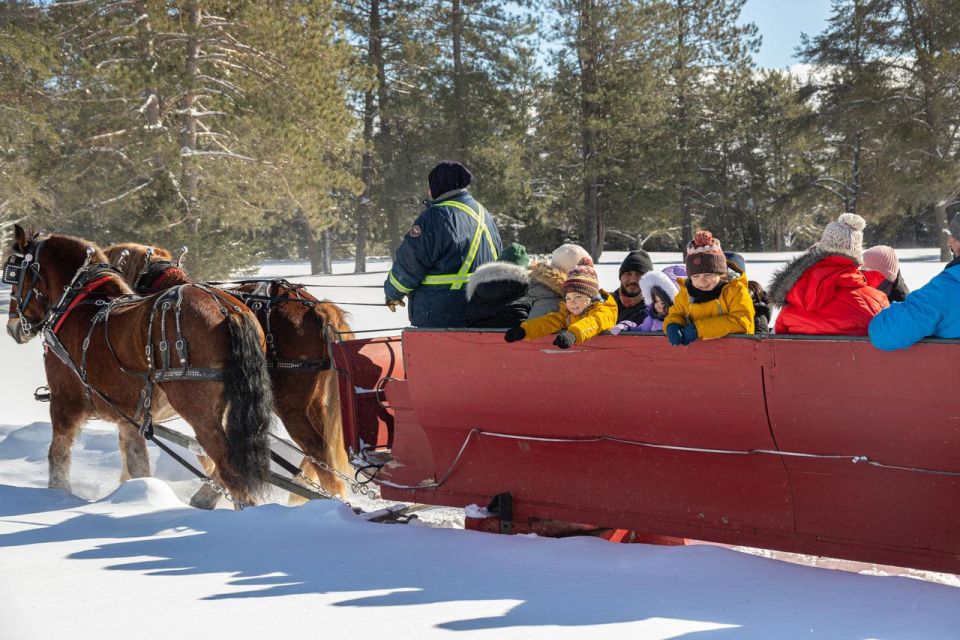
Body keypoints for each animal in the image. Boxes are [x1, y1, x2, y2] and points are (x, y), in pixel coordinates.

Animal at [5, 228, 272, 508]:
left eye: (12, 274)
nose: (12, 327)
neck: (78, 303)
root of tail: (228, 310)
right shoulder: (128, 418)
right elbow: (136, 464)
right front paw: (137, 493)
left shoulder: (64, 403)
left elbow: (57, 455)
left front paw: (57, 496)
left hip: (200, 412)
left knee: (230, 468)